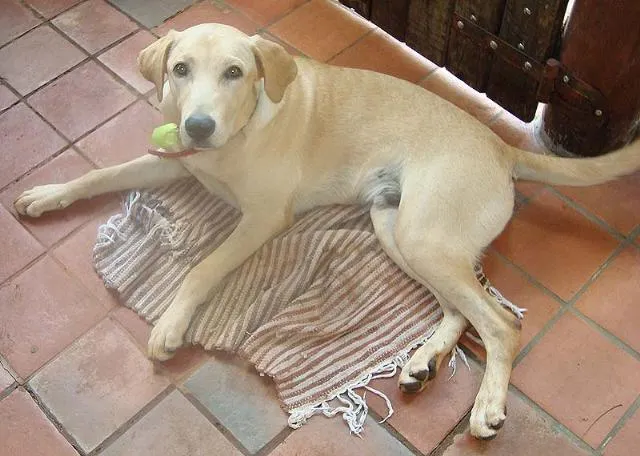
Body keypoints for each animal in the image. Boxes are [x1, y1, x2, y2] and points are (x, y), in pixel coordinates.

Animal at [15, 24, 640, 438]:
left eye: (235, 72)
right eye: (180, 69)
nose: (197, 125)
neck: (240, 130)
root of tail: (501, 146)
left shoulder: (264, 217)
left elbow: (202, 267)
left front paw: (171, 323)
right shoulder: (176, 163)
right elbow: (104, 173)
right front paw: (49, 195)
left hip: (423, 237)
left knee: (501, 323)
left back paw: (486, 406)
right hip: (398, 230)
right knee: (464, 311)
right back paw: (423, 362)